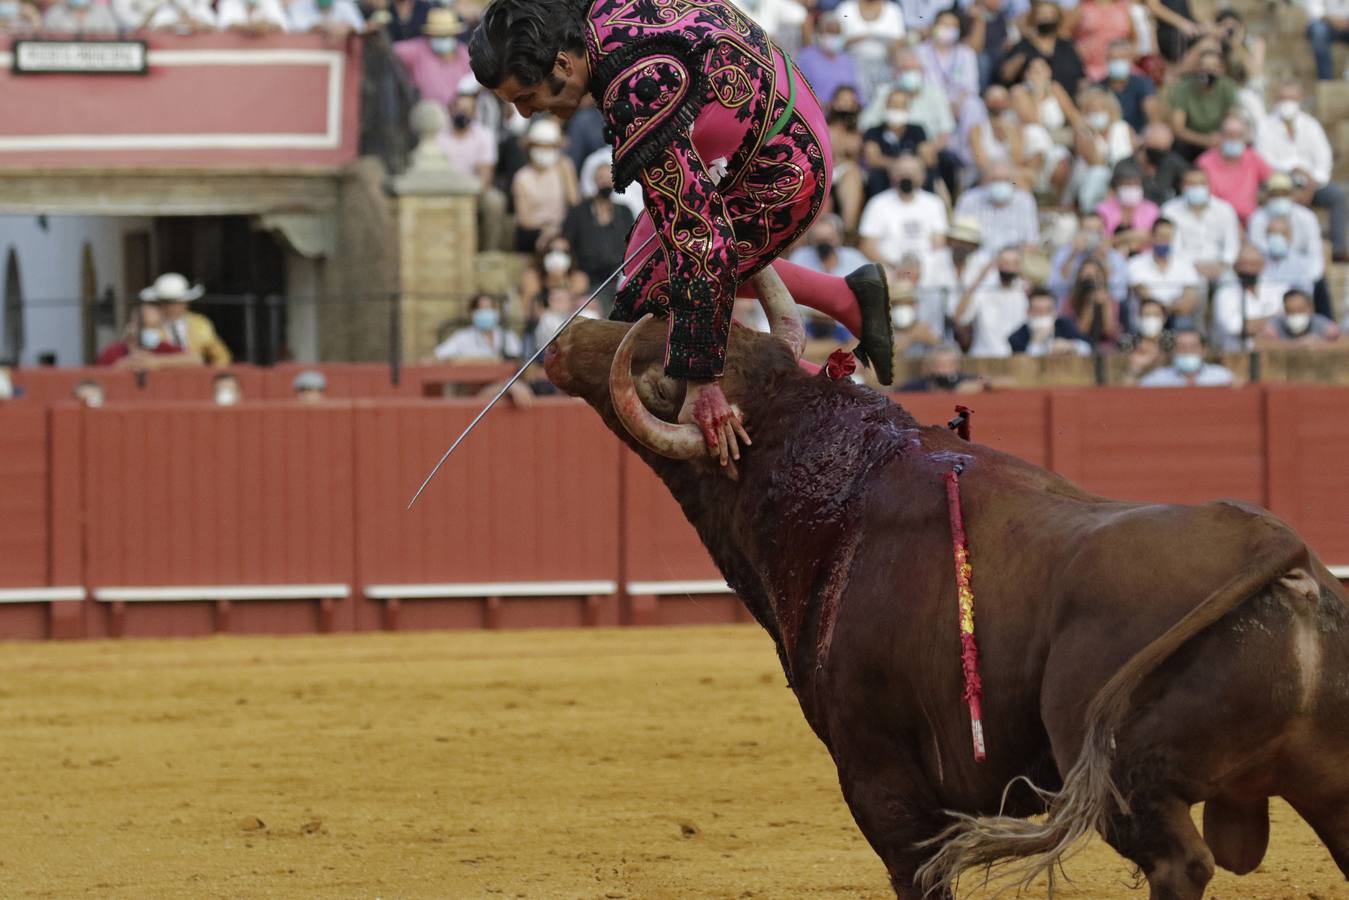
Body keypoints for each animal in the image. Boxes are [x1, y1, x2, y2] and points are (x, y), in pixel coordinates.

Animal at [542, 272, 1349, 900]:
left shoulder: (881, 782)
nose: (561, 341)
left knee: (1179, 864)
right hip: (1325, 781)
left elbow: (918, 872)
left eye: (658, 372)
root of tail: (1280, 548)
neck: (839, 488)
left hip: (1132, 782)